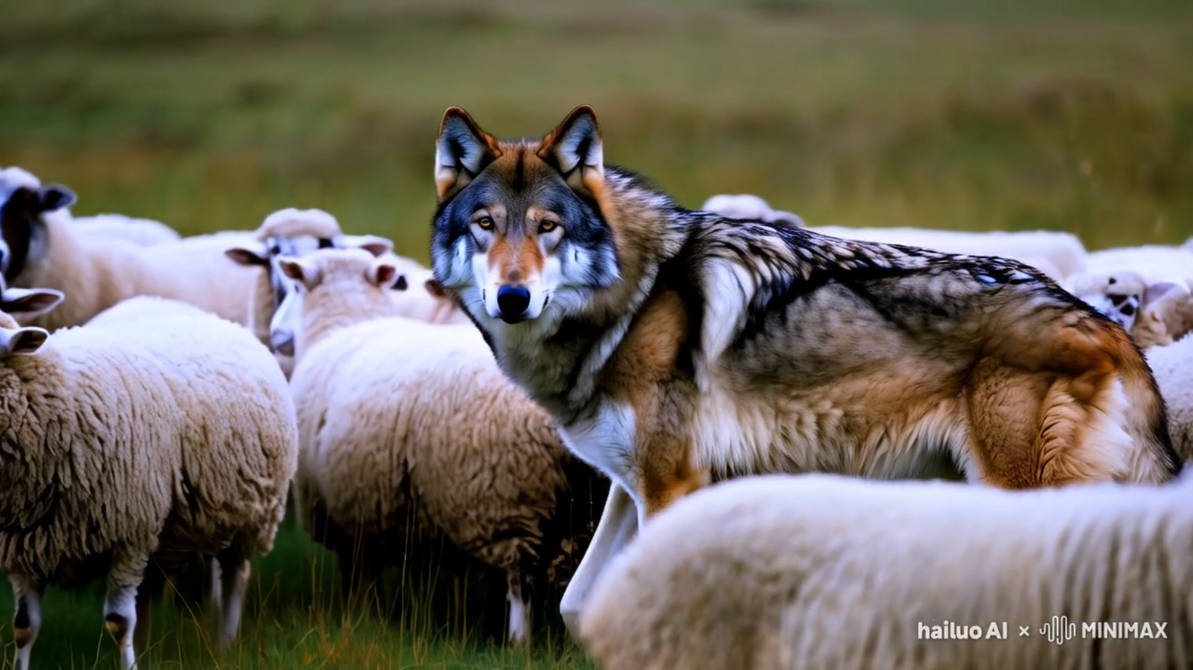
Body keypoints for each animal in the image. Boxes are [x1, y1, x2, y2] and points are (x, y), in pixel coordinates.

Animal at [429, 105, 1180, 624]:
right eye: (486, 226)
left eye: (547, 228)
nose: (513, 297)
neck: (636, 296)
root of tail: (1109, 329)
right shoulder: (635, 484)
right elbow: (580, 604)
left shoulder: (672, 484)